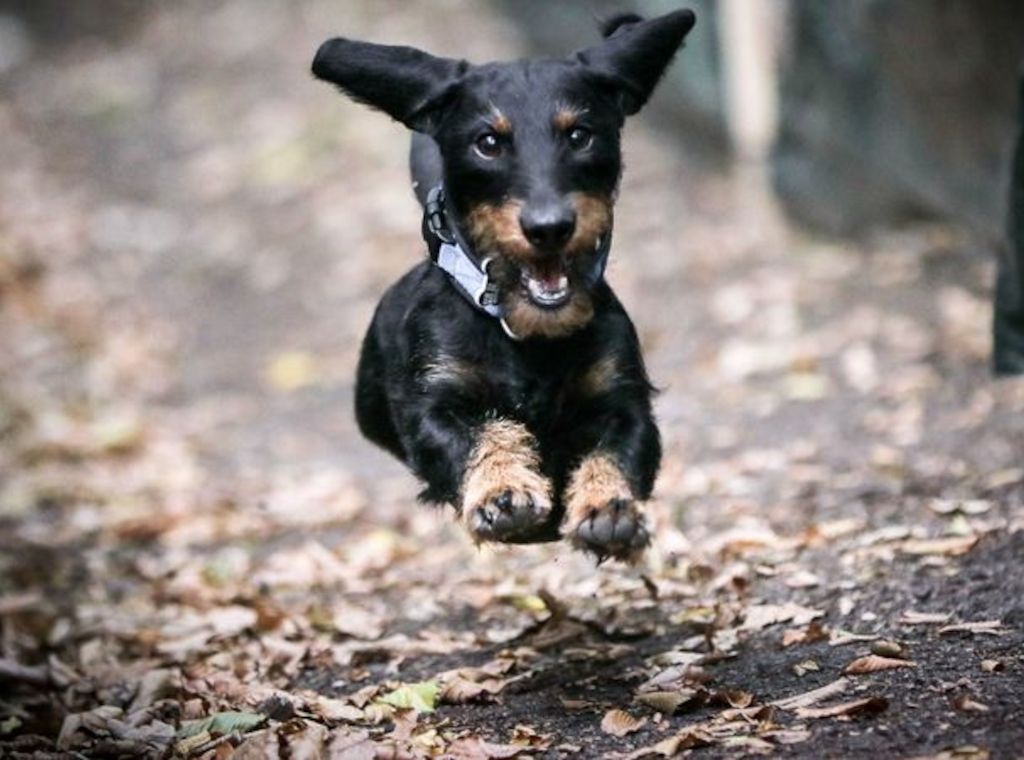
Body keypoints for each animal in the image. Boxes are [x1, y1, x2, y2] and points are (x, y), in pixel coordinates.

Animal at [313, 8, 696, 561]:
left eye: (580, 135)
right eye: (488, 143)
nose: (549, 227)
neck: (527, 331)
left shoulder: (623, 401)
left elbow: (615, 450)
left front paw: (609, 510)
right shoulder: (433, 405)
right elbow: (481, 433)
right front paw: (503, 492)